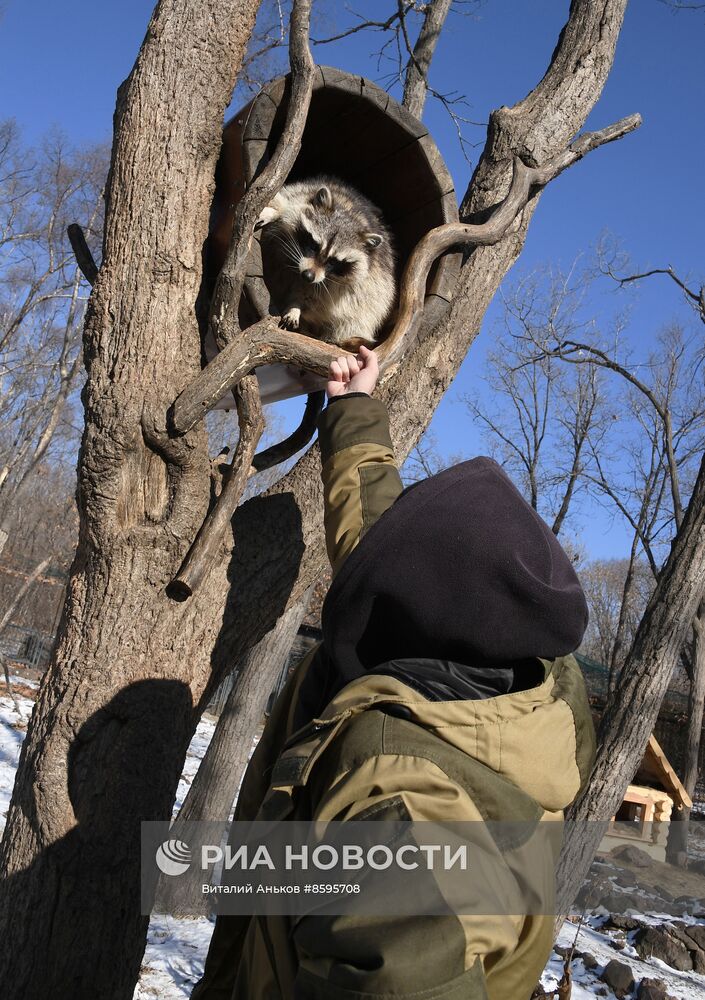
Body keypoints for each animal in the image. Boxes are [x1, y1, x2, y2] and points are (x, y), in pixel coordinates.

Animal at [254, 176, 396, 352]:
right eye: (315, 245)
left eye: (333, 261)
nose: (308, 276)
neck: (350, 212)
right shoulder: (300, 194)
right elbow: (286, 202)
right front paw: (273, 211)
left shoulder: (341, 286)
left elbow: (318, 298)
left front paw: (296, 305)